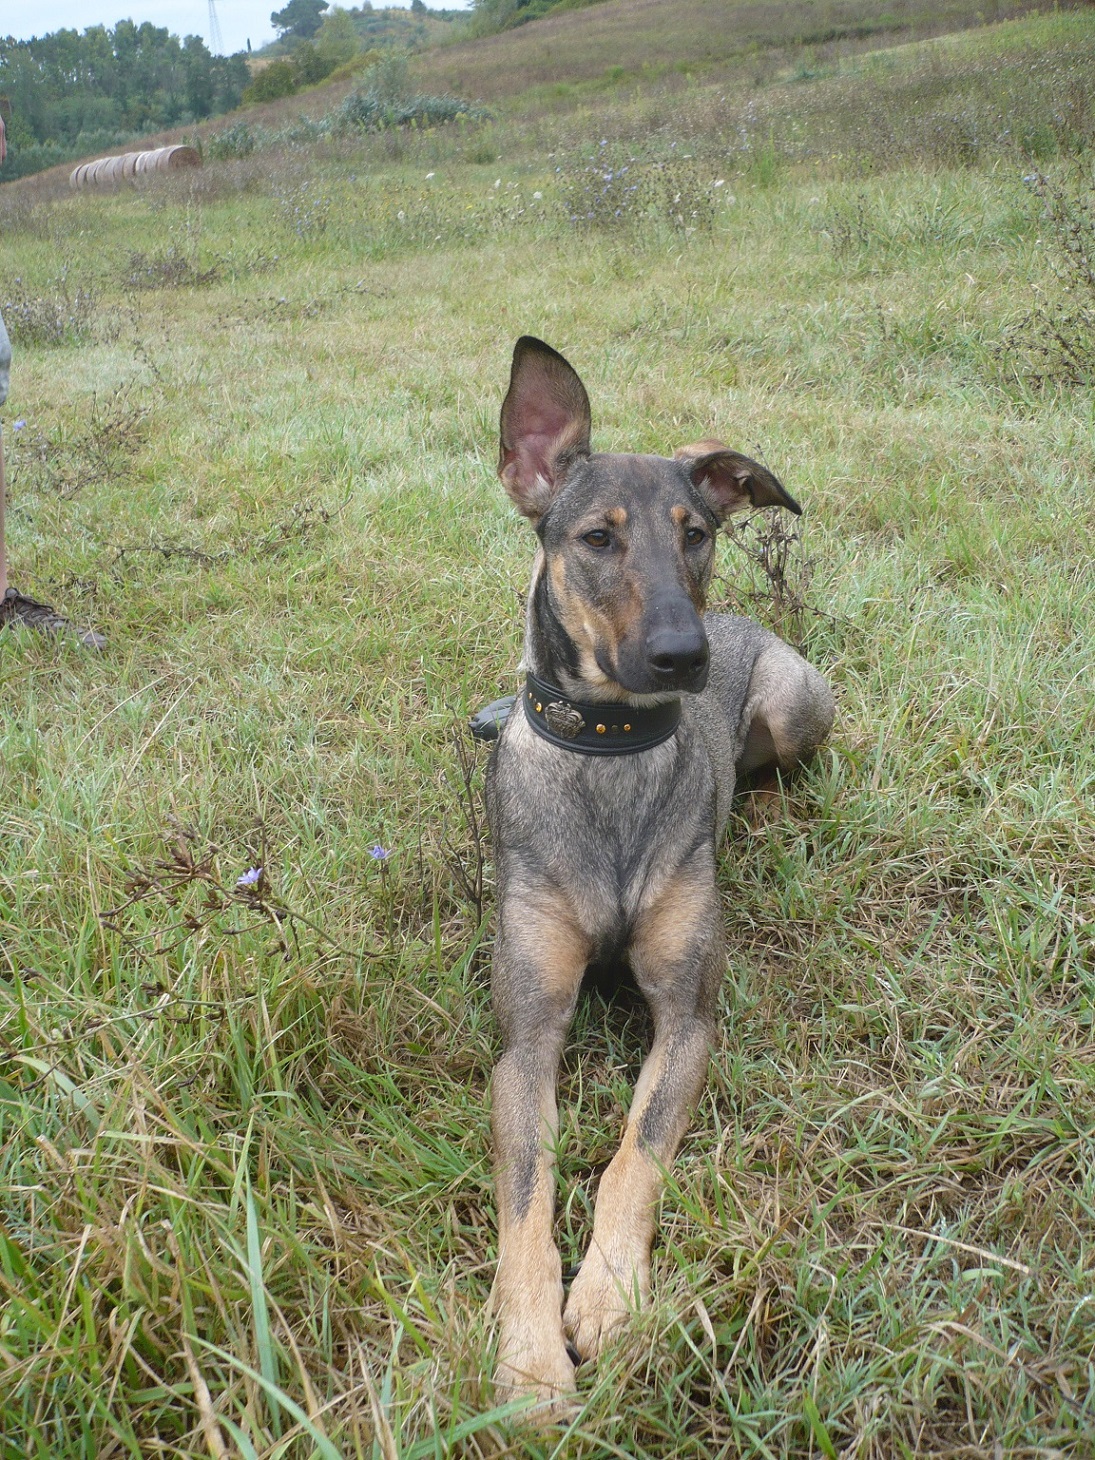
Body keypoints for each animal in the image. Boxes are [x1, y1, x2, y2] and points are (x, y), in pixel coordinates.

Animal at [484, 335, 835, 1407]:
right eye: (597, 538)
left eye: (697, 535)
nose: (682, 655)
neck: (610, 751)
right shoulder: (526, 1040)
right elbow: (526, 1200)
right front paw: (528, 1357)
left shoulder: (687, 1018)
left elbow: (631, 1157)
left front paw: (607, 1295)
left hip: (796, 706)